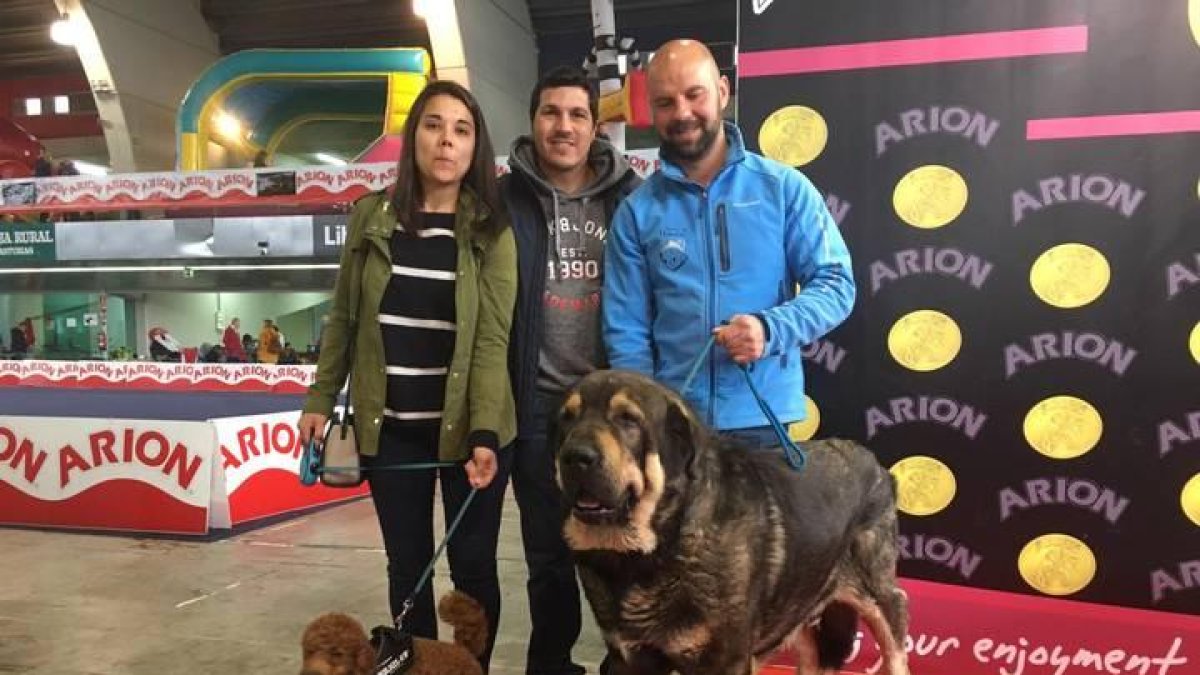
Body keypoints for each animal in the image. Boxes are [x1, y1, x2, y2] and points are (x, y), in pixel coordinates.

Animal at [552, 369, 907, 667]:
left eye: (628, 420)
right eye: (567, 419)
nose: (575, 457)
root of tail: (876, 464)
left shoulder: (726, 657)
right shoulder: (630, 655)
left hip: (878, 594)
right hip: (796, 603)